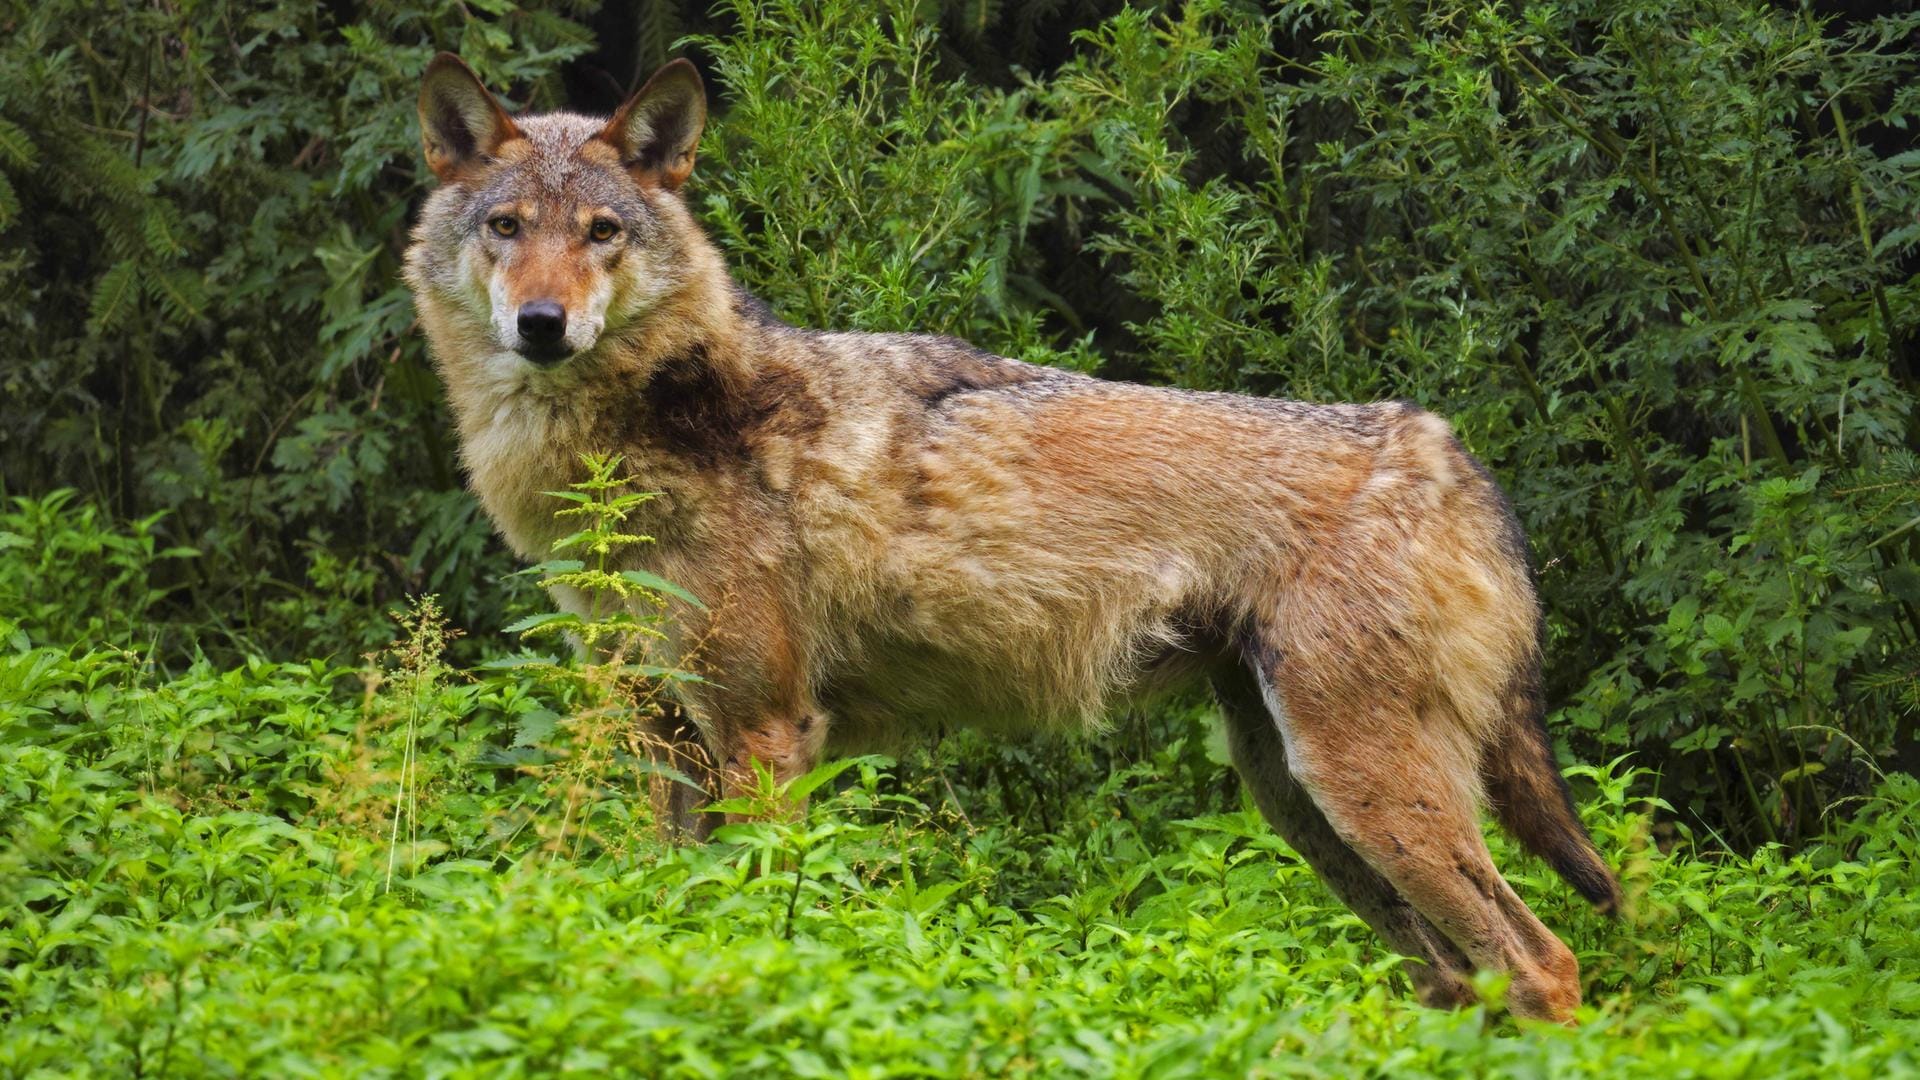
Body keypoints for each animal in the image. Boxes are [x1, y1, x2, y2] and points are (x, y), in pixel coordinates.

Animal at [405, 56, 1620, 1014]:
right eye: (507, 228)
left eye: (601, 233)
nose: (543, 325)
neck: (648, 431)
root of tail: (1445, 449)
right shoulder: (666, 741)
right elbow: (673, 916)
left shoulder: (765, 735)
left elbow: (752, 929)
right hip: (1307, 809)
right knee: (1463, 977)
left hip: (1365, 795)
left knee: (1547, 963)